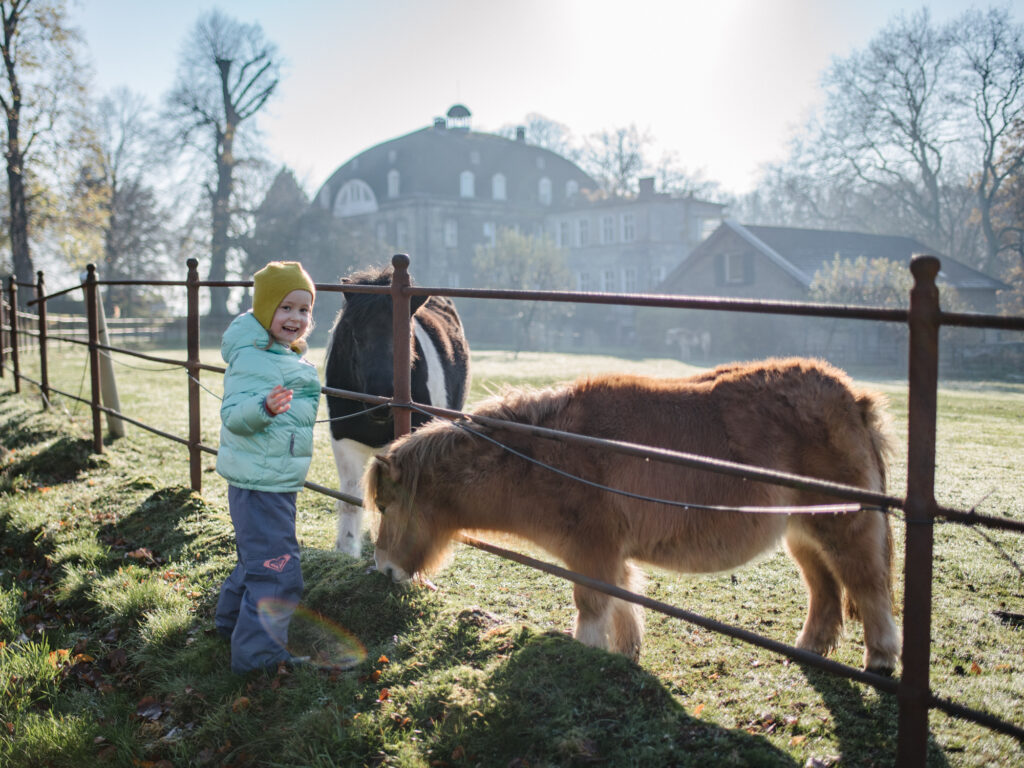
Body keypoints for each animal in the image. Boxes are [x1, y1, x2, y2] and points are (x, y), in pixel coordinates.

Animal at [323, 268, 468, 557]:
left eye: (406, 336)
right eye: (354, 335)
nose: (380, 400)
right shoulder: (343, 438)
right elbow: (350, 498)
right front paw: (346, 550)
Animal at [364, 356, 901, 671]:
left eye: (387, 506)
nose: (384, 571)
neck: (547, 455)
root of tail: (852, 398)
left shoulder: (593, 552)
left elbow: (592, 608)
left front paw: (587, 658)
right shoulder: (612, 555)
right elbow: (623, 604)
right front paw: (625, 661)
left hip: (844, 528)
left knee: (868, 585)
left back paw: (880, 660)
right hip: (802, 534)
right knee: (826, 590)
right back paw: (809, 650)